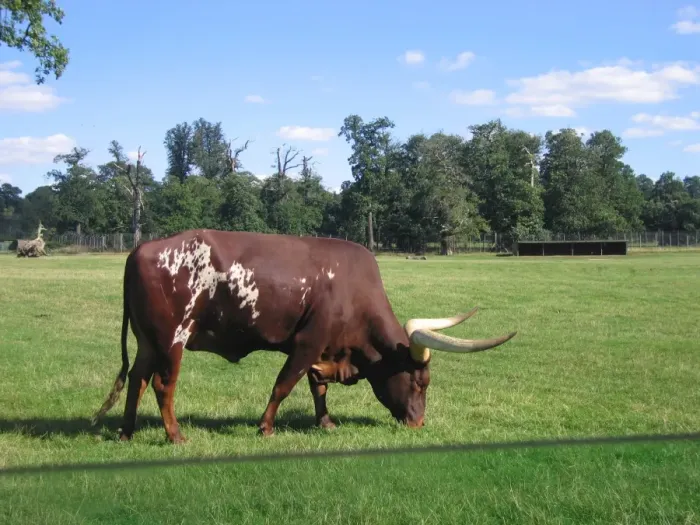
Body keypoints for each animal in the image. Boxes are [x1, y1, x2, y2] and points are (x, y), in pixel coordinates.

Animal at [92, 229, 516, 443]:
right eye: (418, 381)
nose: (418, 423)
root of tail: (141, 249)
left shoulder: (324, 349)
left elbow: (318, 387)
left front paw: (325, 422)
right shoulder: (307, 343)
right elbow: (284, 384)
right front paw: (265, 427)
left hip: (148, 341)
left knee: (137, 379)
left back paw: (126, 432)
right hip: (172, 339)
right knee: (163, 384)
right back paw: (176, 435)